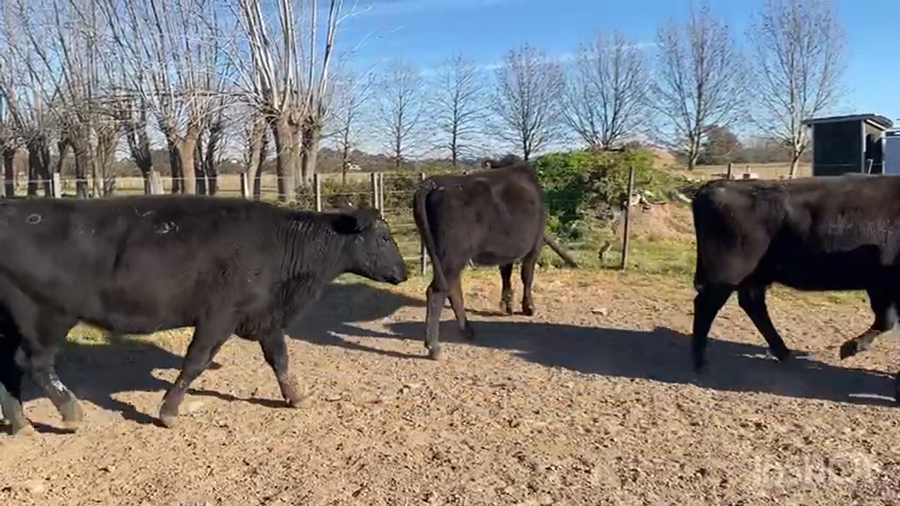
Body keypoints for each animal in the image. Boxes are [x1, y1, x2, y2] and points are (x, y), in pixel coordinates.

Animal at [0, 195, 408, 435]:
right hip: (46, 316)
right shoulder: (219, 315)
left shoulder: (264, 317)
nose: (403, 273)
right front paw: (168, 411)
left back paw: (20, 424)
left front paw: (297, 395)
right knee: (35, 363)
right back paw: (72, 413)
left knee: (9, 367)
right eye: (384, 237)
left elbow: (280, 358)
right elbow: (195, 362)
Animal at [412, 155, 552, 360]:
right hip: (452, 255)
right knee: (437, 291)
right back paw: (434, 346)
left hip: (446, 255)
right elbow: (527, 276)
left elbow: (506, 273)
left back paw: (467, 330)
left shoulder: (506, 251)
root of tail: (435, 182)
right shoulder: (535, 245)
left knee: (453, 289)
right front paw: (528, 307)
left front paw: (507, 305)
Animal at [690, 174, 900, 401]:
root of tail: (715, 186)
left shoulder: (881, 287)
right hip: (727, 276)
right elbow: (886, 321)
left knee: (752, 305)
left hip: (754, 277)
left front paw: (851, 347)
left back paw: (784, 353)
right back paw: (700, 362)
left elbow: (885, 320)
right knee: (706, 306)